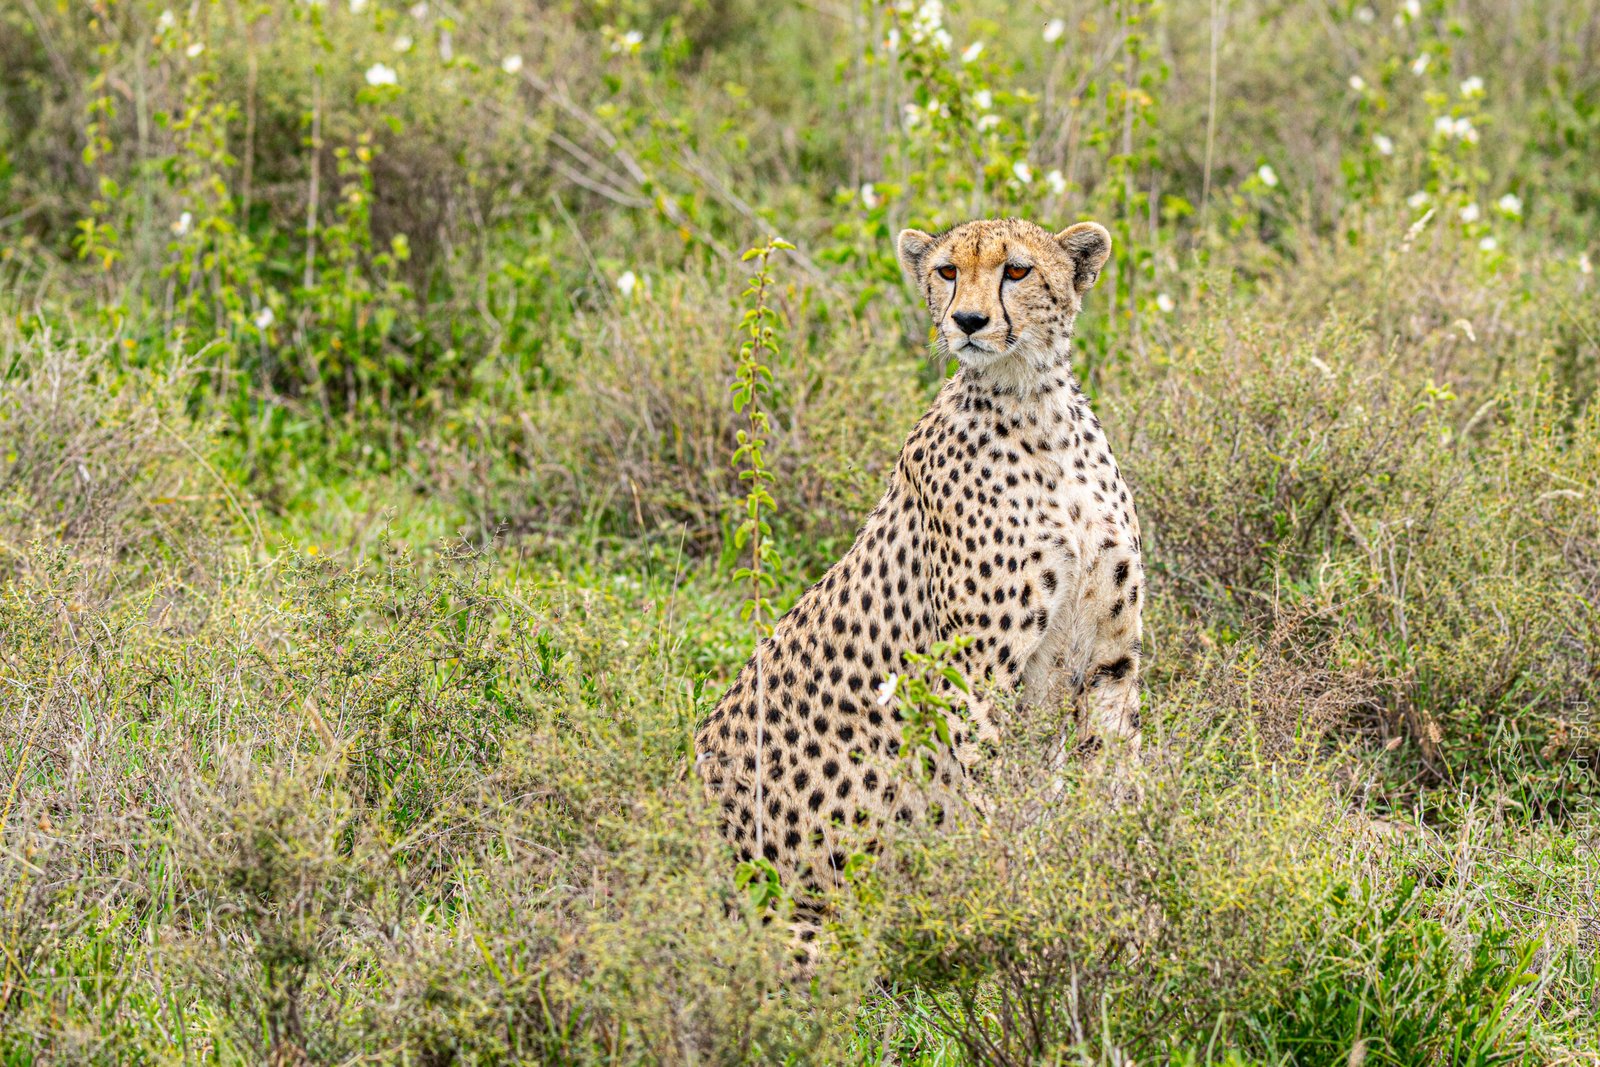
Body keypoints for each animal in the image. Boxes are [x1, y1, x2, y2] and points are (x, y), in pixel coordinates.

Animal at [694, 217, 1145, 933]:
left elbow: (1117, 773)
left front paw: (1127, 878)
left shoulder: (1110, 655)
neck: (1035, 407)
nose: (968, 320)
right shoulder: (973, 673)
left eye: (1017, 270)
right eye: (946, 271)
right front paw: (1023, 896)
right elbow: (997, 796)